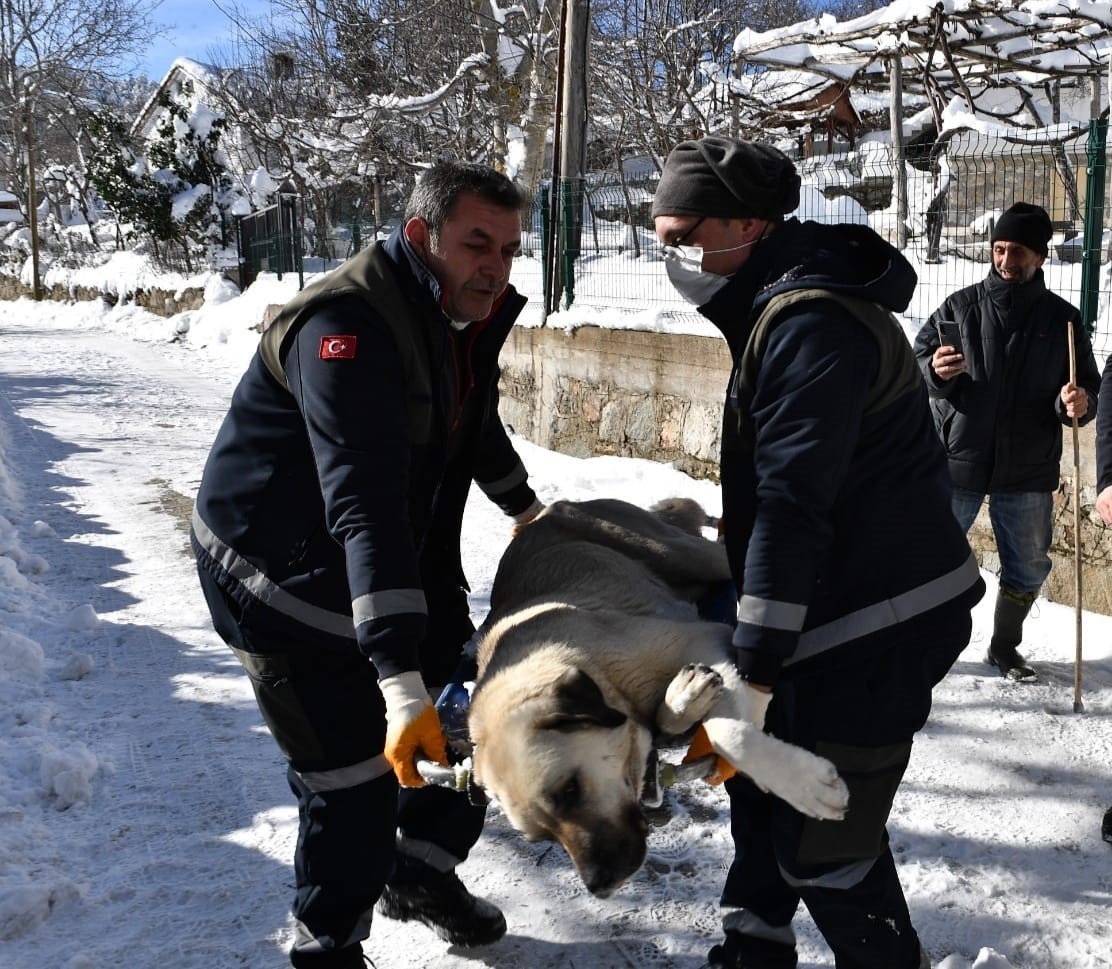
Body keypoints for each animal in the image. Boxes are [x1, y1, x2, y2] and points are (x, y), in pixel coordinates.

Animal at [464, 505, 845, 898]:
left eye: (569, 790)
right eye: (541, 836)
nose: (599, 885)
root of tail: (542, 515)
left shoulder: (702, 637)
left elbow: (727, 732)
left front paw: (804, 783)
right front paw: (683, 700)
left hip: (681, 553)